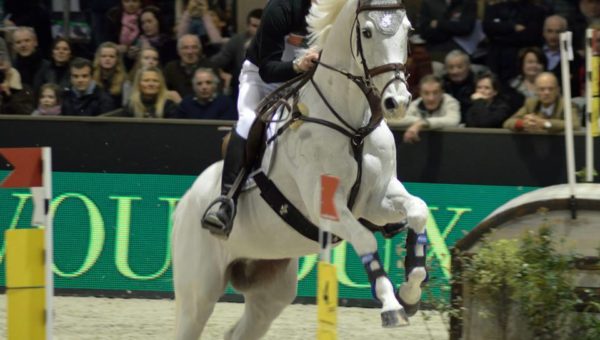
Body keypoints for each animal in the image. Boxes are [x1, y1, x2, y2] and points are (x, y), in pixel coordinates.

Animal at [171, 1, 428, 338]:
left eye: (408, 30)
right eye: (367, 31)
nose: (397, 102)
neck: (354, 127)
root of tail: (185, 200)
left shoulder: (375, 199)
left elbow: (418, 210)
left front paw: (409, 294)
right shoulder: (325, 209)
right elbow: (366, 240)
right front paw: (391, 306)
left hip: (270, 287)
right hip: (198, 292)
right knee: (192, 317)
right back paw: (219, 214)